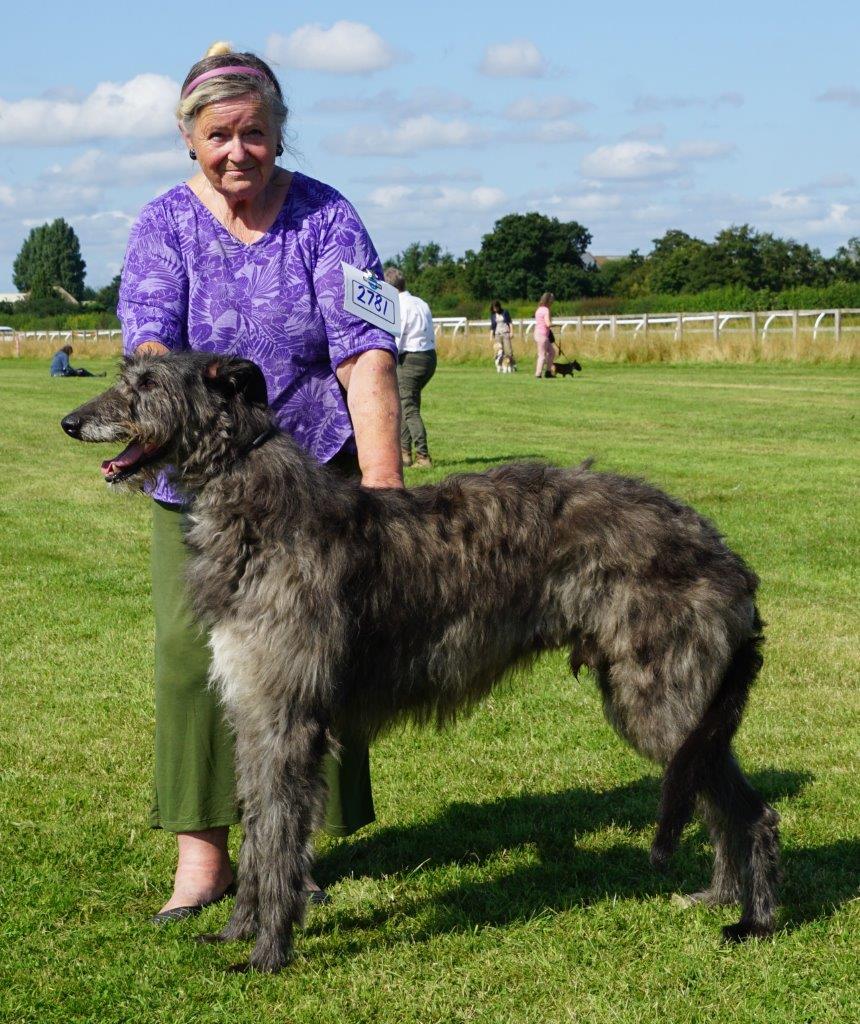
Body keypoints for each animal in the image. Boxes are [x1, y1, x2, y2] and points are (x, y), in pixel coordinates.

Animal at [60, 354, 778, 974]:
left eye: (147, 383)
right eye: (126, 374)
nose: (69, 422)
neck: (258, 505)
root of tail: (728, 555)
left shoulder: (288, 716)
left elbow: (280, 835)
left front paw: (267, 955)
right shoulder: (255, 711)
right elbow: (261, 831)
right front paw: (238, 930)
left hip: (657, 696)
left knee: (751, 811)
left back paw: (755, 921)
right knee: (713, 795)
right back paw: (718, 896)